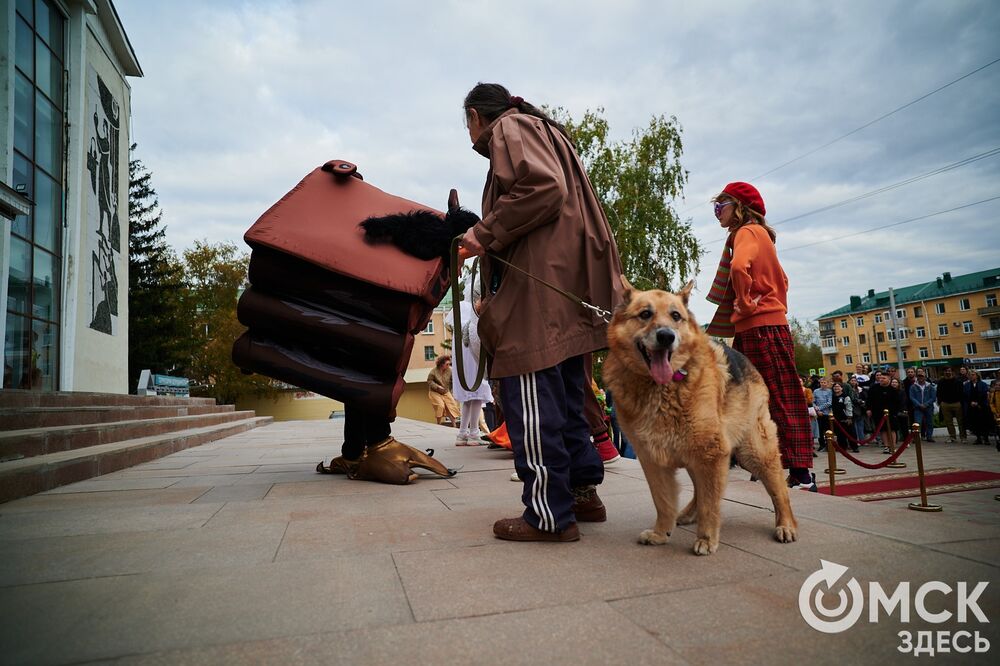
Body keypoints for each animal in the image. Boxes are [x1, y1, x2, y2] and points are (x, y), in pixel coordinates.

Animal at [600, 280, 796, 556]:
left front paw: (706, 538)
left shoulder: (711, 454)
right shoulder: (653, 460)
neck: (662, 388)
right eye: (645, 314)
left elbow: (710, 504)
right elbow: (664, 501)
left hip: (753, 453)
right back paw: (686, 515)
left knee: (779, 490)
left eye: (675, 316)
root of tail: (746, 361)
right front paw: (661, 533)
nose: (666, 336)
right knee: (700, 491)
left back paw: (786, 524)